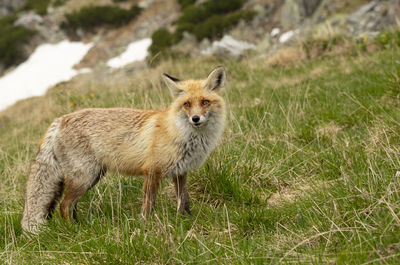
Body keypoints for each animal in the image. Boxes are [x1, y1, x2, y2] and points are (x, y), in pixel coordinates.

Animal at [21, 65, 227, 231]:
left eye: (204, 102)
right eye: (187, 104)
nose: (195, 119)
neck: (183, 135)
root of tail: (59, 119)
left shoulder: (180, 172)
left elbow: (184, 200)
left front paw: (186, 220)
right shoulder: (153, 172)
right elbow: (148, 205)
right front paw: (146, 225)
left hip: (92, 176)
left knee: (68, 206)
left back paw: (81, 226)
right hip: (85, 176)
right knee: (64, 206)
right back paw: (76, 230)